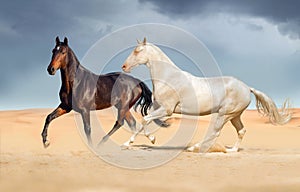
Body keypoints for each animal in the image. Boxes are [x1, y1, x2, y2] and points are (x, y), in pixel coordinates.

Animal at [120, 37, 292, 152]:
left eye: (137, 51)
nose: (124, 66)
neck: (168, 77)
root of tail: (246, 88)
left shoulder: (167, 110)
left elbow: (145, 119)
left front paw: (140, 141)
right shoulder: (159, 108)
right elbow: (145, 120)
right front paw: (139, 141)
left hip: (225, 114)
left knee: (215, 132)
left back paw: (194, 148)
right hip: (235, 116)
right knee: (241, 131)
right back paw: (231, 150)